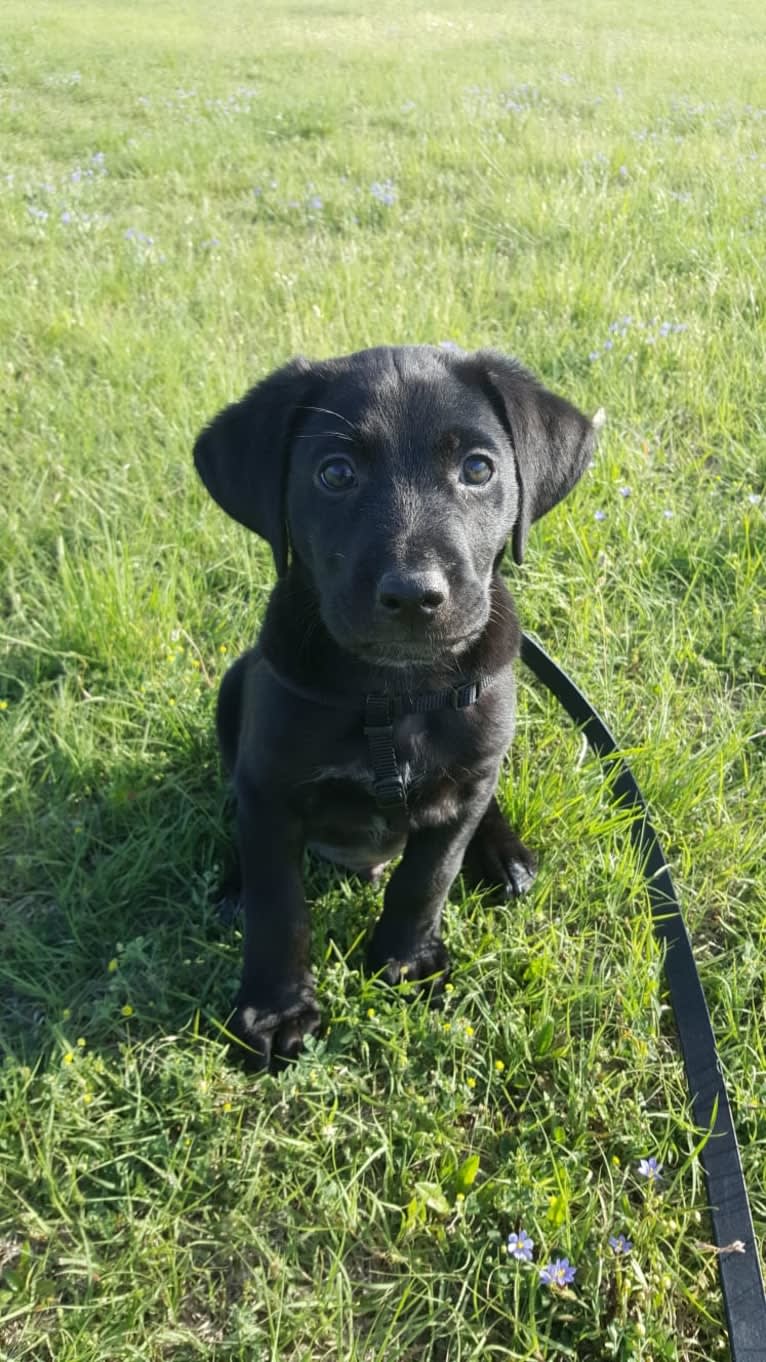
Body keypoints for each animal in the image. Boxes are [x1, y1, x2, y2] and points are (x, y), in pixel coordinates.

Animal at [193, 345, 599, 1067]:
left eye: (478, 469)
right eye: (335, 473)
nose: (413, 596)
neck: (394, 693)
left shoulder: (464, 781)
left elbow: (427, 877)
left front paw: (405, 963)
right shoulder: (269, 792)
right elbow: (279, 908)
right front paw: (276, 1010)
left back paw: (504, 856)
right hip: (233, 688)